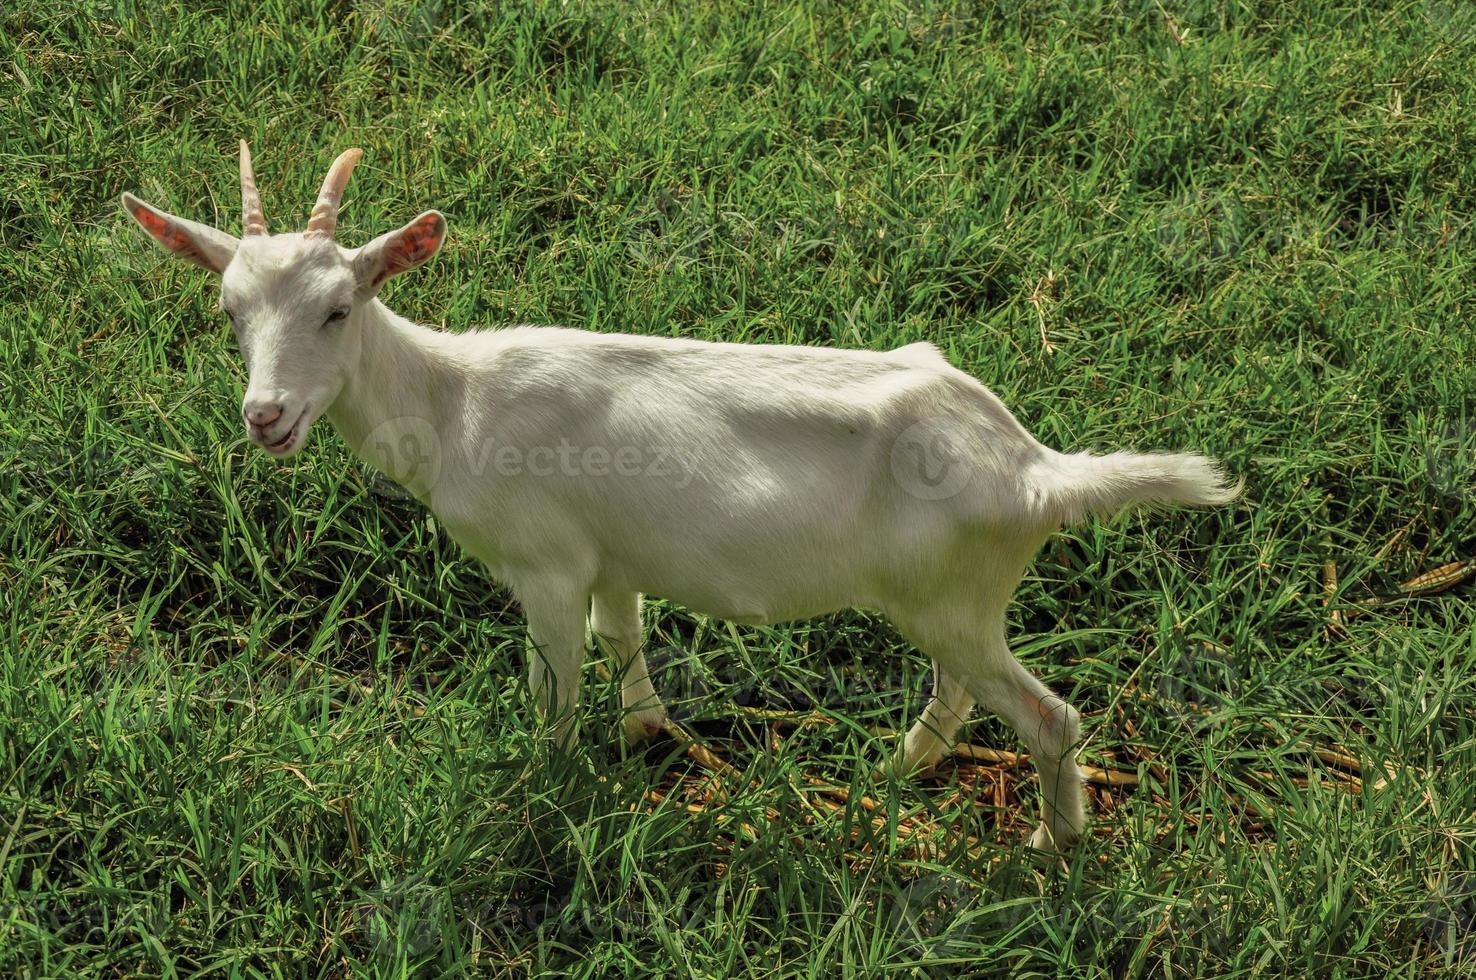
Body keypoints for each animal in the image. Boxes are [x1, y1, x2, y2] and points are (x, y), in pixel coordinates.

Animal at [121, 141, 1239, 856]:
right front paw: (651, 735)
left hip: (953, 598)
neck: (453, 397)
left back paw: (1051, 848)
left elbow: (555, 689)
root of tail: (1032, 465)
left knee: (1048, 716)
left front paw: (548, 786)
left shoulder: (545, 564)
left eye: (339, 307)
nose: (267, 417)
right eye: (228, 310)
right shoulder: (612, 557)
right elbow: (625, 637)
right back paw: (899, 769)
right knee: (959, 691)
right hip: (946, 599)